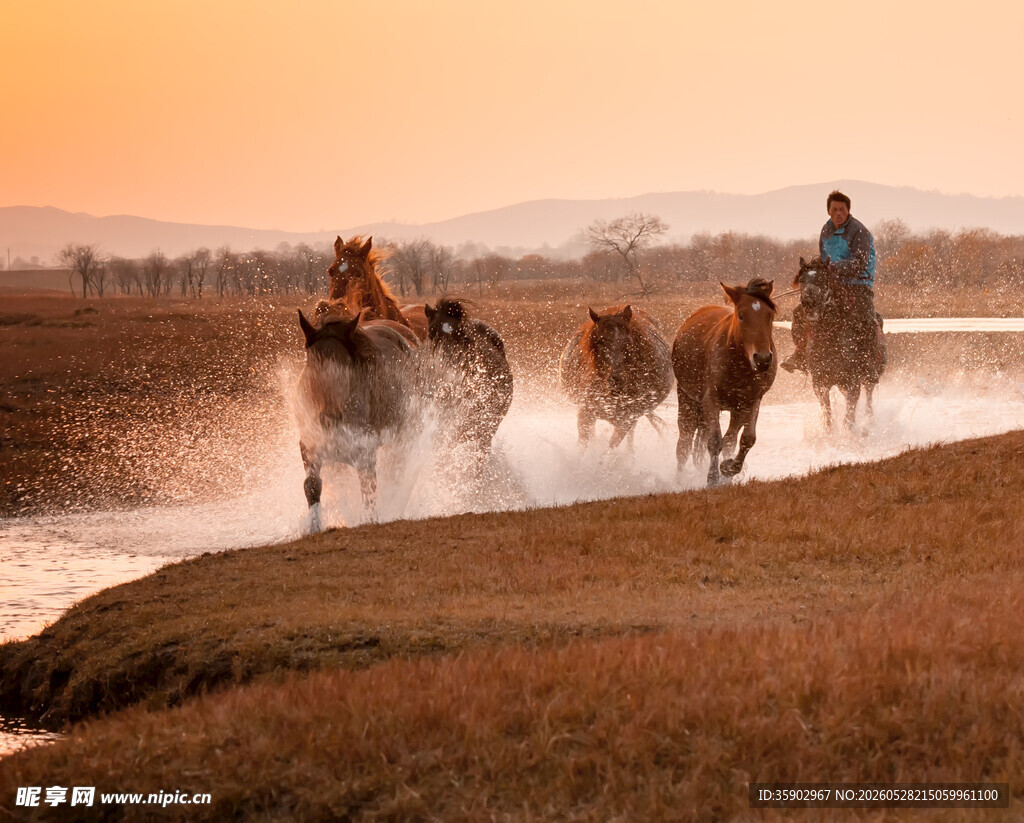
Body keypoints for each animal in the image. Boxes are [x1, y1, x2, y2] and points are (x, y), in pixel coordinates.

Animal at [295, 308, 414, 531]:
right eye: (313, 367)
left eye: (345, 369)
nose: (328, 417)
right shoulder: (309, 445)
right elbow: (312, 486)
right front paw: (314, 527)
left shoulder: (365, 449)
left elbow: (369, 488)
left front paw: (370, 520)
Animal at [559, 305, 674, 448]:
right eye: (600, 341)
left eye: (627, 341)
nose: (616, 381)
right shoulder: (586, 413)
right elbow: (582, 446)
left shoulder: (626, 421)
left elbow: (610, 449)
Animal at [672, 279, 777, 486]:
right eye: (741, 316)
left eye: (769, 315)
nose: (762, 359)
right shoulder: (710, 400)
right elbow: (714, 441)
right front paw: (712, 478)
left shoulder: (751, 402)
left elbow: (746, 439)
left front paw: (728, 469)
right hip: (687, 399)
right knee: (684, 444)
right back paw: (680, 480)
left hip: (736, 410)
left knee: (730, 439)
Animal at [792, 256, 886, 430]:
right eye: (801, 280)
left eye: (822, 278)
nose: (808, 303)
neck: (831, 339)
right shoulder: (820, 383)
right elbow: (828, 417)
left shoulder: (853, 382)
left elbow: (849, 418)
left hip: (870, 376)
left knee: (869, 397)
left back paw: (869, 422)